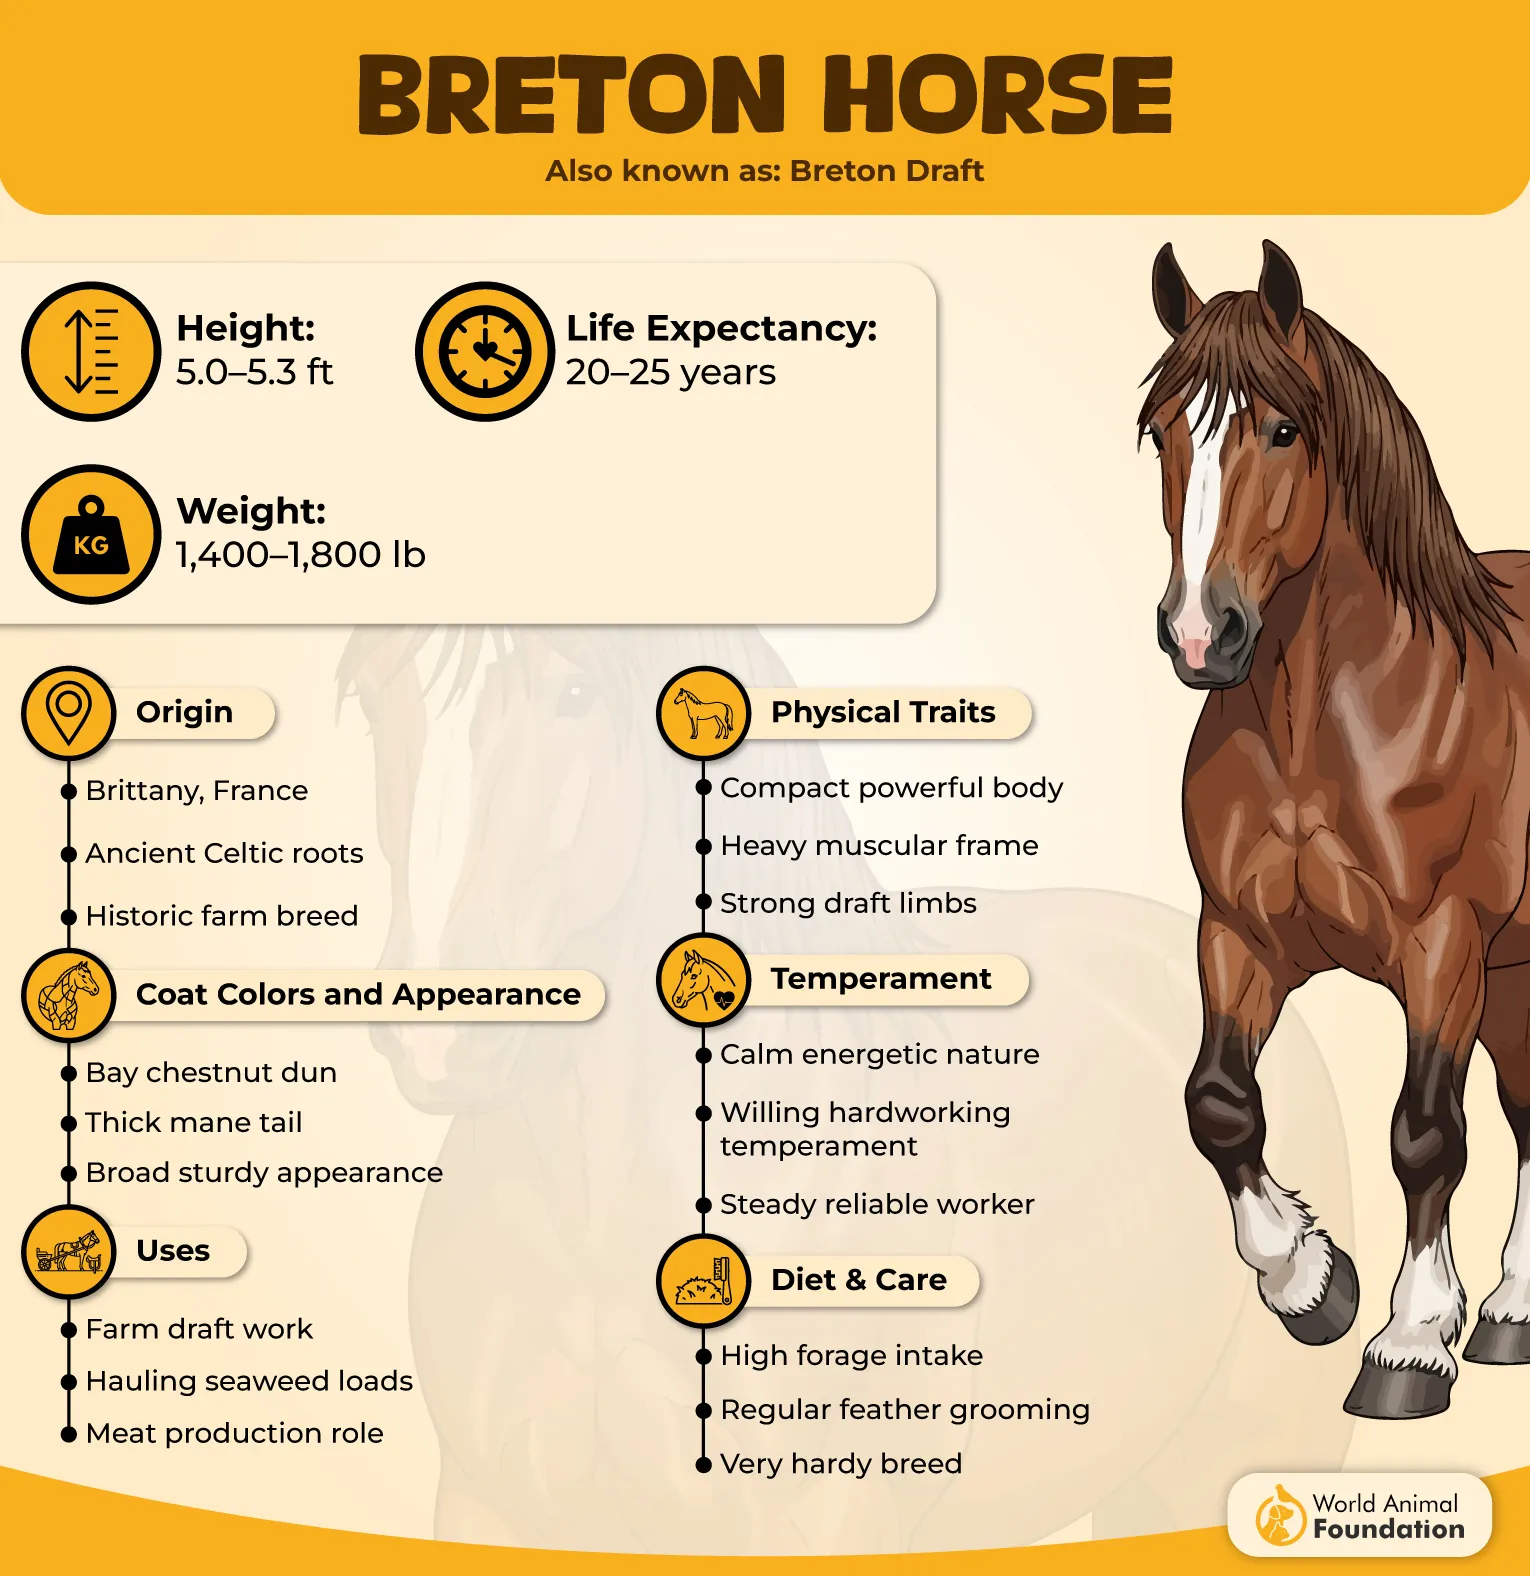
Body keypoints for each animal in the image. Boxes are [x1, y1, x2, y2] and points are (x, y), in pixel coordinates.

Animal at [1142, 239, 1530, 1420]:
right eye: (1162, 430)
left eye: (1283, 429)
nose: (1200, 634)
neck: (1319, 729)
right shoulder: (1240, 935)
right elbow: (1218, 1105)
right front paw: (1312, 1281)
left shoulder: (1443, 948)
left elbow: (1425, 1134)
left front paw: (1408, 1342)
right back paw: (1511, 1313)